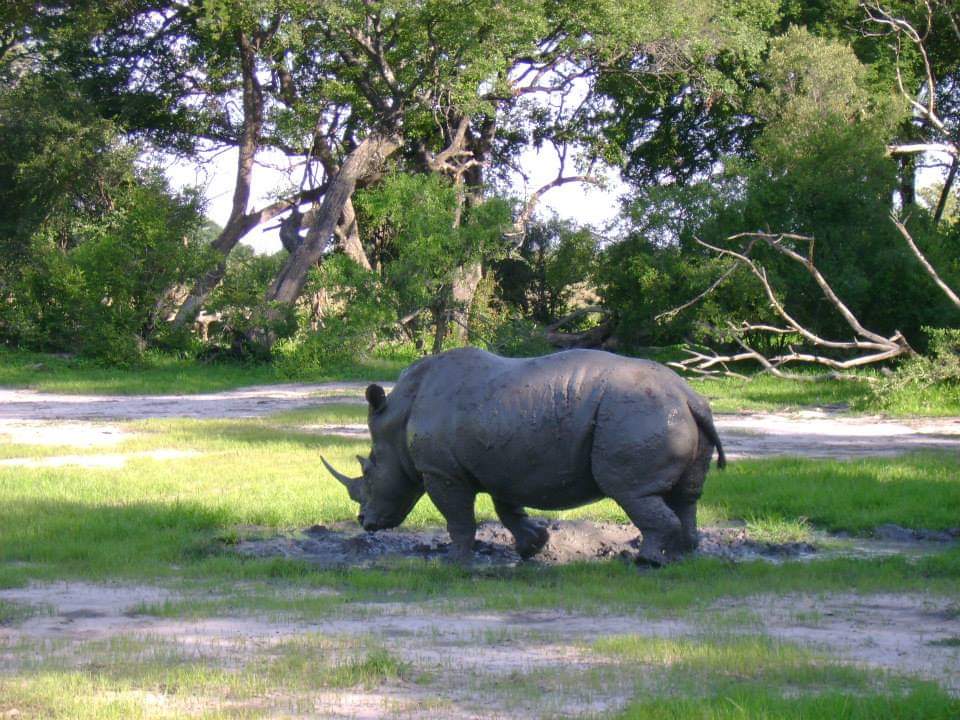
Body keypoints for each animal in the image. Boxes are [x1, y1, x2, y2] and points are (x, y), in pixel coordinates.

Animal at [321, 347, 725, 566]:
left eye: (370, 471)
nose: (363, 521)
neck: (399, 416)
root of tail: (688, 395)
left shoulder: (441, 471)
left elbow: (458, 517)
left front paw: (454, 561)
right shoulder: (504, 463)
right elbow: (508, 509)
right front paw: (534, 547)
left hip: (637, 413)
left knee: (631, 491)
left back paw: (647, 562)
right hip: (669, 410)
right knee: (686, 495)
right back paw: (684, 556)